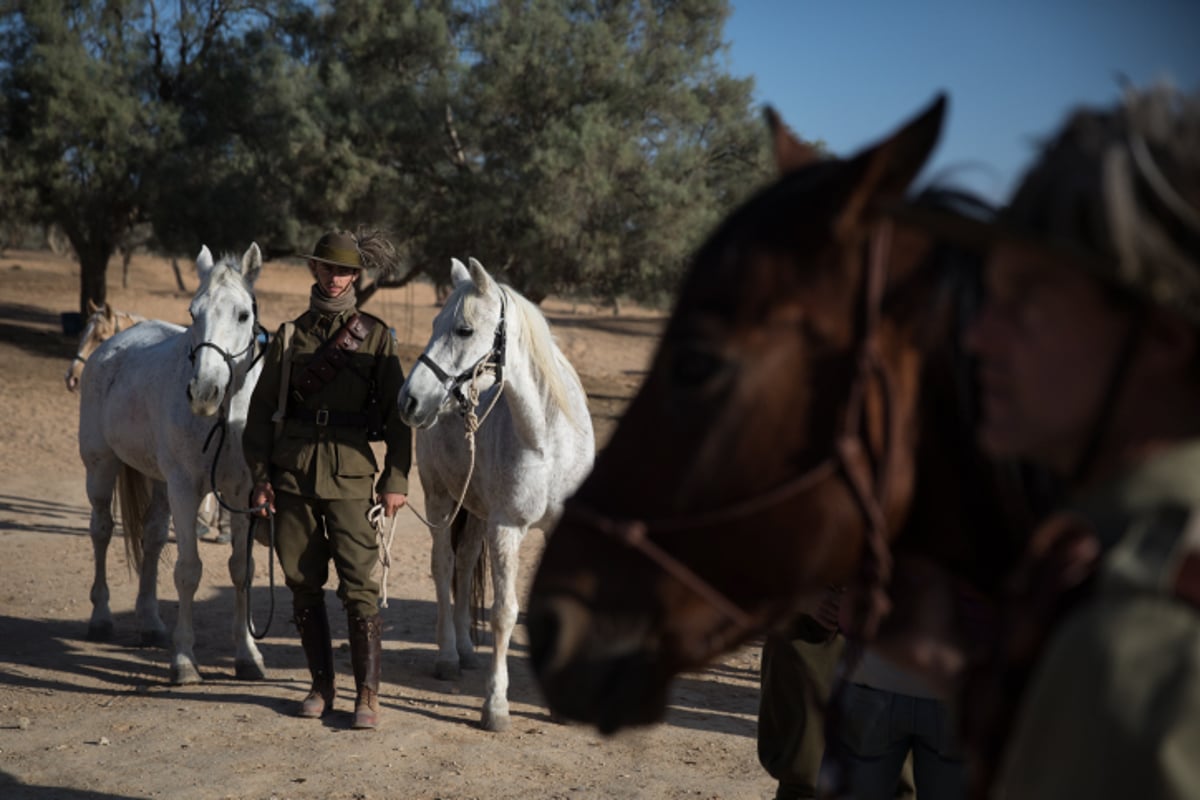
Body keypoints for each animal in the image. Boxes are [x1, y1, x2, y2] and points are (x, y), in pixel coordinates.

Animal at [79, 242, 267, 681]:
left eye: (243, 314)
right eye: (193, 313)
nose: (203, 391)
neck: (227, 417)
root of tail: (109, 349)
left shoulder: (244, 495)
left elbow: (242, 569)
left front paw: (247, 654)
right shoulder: (185, 488)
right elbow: (188, 570)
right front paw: (184, 659)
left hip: (160, 484)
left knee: (150, 538)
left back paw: (150, 624)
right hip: (101, 468)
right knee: (101, 530)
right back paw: (101, 617)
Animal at [398, 257, 595, 734]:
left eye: (464, 330)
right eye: (434, 323)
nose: (408, 400)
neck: (549, 440)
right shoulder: (507, 529)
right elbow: (505, 612)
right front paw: (496, 705)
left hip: (476, 513)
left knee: (466, 564)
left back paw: (469, 651)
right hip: (441, 501)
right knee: (444, 567)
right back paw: (449, 656)